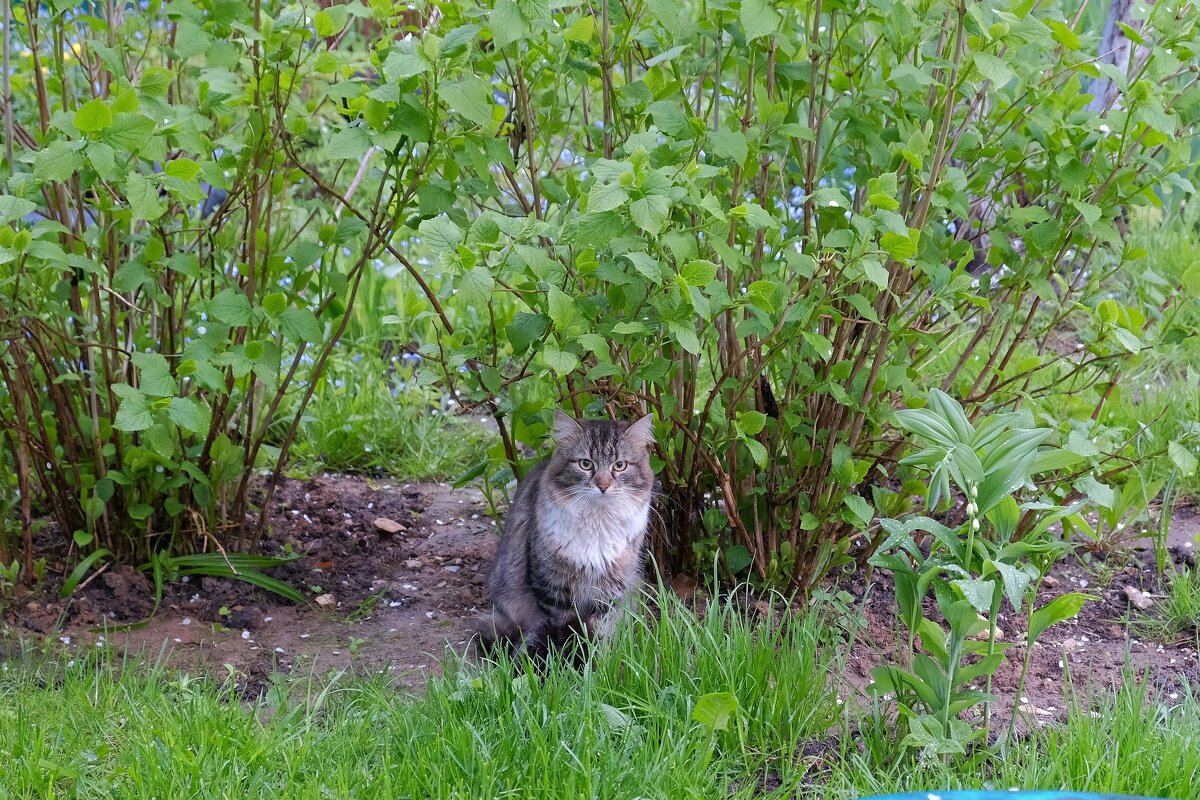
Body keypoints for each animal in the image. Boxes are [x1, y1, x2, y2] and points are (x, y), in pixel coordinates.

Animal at [484, 410, 657, 662]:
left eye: (620, 465)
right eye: (586, 464)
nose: (603, 485)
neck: (597, 524)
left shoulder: (609, 591)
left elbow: (599, 631)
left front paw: (598, 662)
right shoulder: (553, 588)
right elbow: (565, 630)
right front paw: (567, 662)